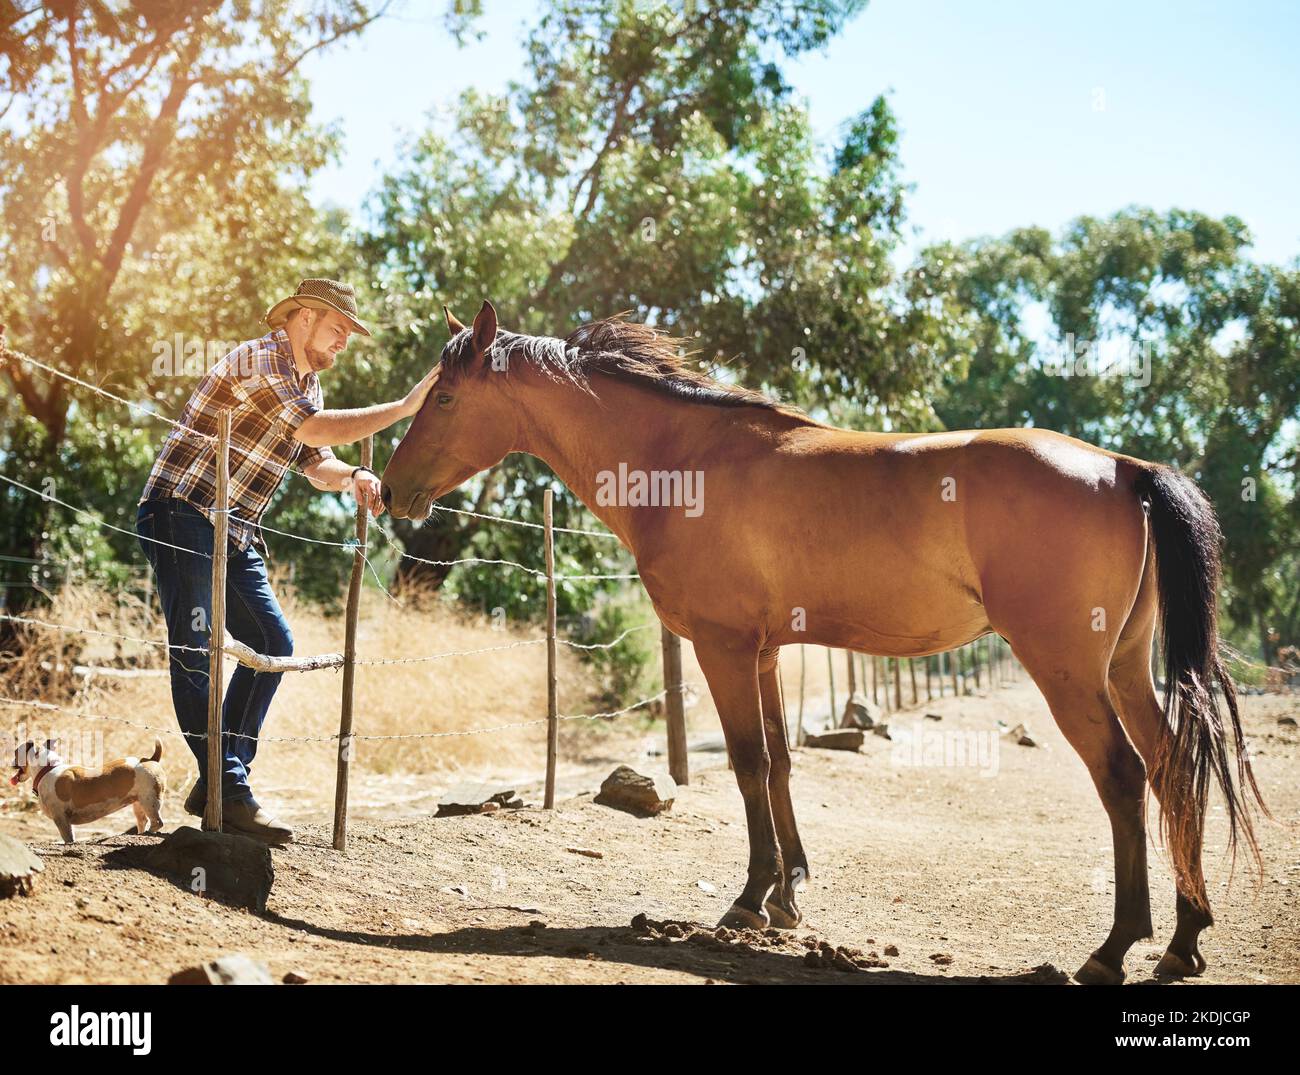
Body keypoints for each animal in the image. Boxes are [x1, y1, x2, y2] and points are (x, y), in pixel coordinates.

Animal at [10, 738, 167, 847]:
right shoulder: (66, 820)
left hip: (150, 800)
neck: (47, 769)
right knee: (143, 821)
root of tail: (151, 760)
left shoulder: (60, 818)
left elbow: (68, 838)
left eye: (15, 752)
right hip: (138, 803)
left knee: (157, 822)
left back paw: (149, 832)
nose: (10, 762)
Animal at [379, 300, 1268, 982]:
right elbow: (779, 762)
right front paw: (787, 895)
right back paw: (1183, 941)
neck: (684, 460)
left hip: (1068, 671)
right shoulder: (769, 653)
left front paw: (747, 900)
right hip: (1123, 668)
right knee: (1172, 767)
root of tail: (1125, 469)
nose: (390, 491)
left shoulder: (725, 649)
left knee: (1122, 776)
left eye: (446, 396)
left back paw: (1114, 949)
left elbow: (746, 764)